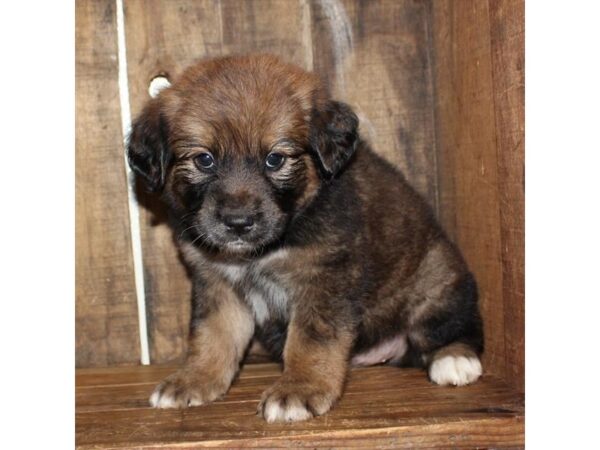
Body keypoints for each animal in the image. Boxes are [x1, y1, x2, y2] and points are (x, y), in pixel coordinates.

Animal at [126, 54, 482, 424]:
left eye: (275, 159)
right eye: (204, 159)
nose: (238, 223)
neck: (266, 248)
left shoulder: (324, 278)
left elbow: (310, 340)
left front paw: (300, 388)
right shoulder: (217, 283)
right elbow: (212, 335)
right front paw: (194, 379)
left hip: (437, 276)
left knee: (455, 326)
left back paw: (454, 360)